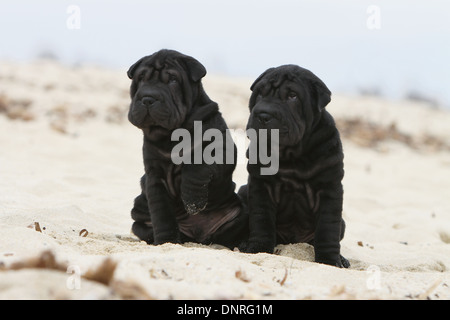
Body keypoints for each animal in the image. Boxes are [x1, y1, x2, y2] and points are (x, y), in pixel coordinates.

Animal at [126, 49, 246, 248]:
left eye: (173, 80)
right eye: (141, 78)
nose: (148, 98)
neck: (170, 136)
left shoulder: (220, 151)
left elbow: (197, 168)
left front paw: (192, 201)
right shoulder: (155, 176)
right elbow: (162, 214)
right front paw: (166, 241)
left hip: (237, 214)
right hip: (140, 220)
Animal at [237, 65, 350, 268]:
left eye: (292, 96)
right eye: (260, 93)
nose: (263, 114)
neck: (291, 156)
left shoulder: (330, 189)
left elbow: (328, 229)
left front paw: (330, 261)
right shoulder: (260, 185)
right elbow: (261, 219)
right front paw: (258, 248)